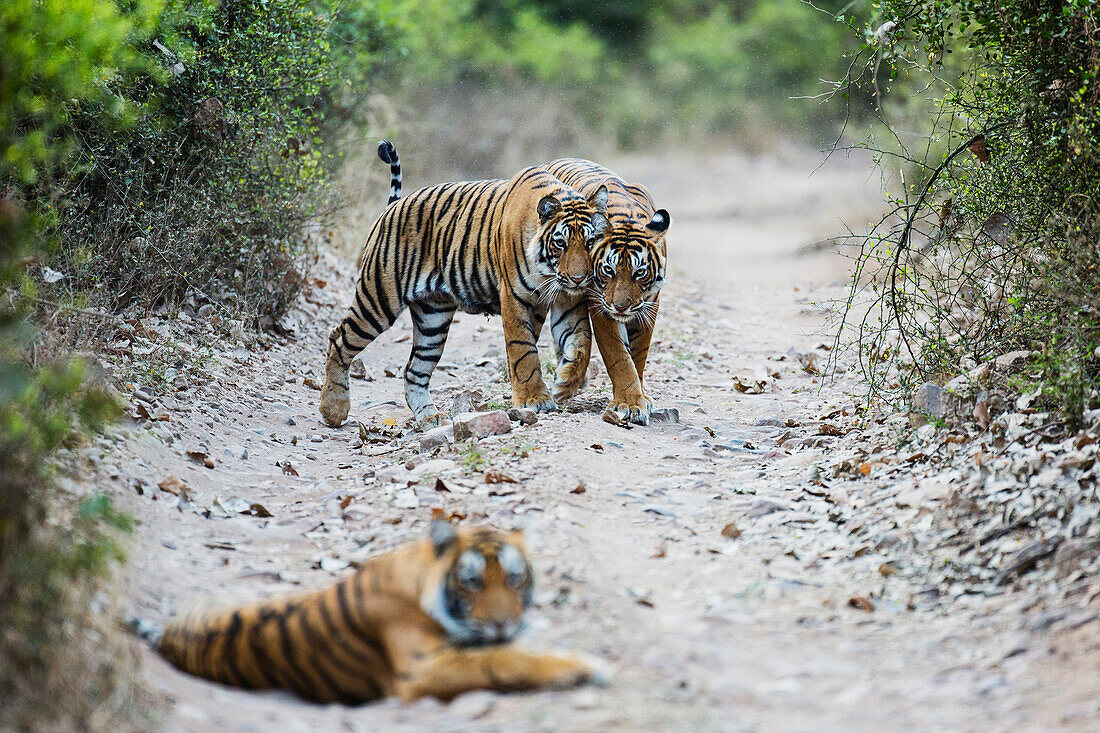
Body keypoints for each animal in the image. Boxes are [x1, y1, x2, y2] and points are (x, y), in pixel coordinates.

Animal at [154, 517, 607, 699]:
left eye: (514, 578)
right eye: (472, 581)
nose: (503, 624)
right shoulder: (422, 668)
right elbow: (505, 661)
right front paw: (586, 666)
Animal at [319, 140, 611, 429]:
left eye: (589, 242)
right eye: (560, 243)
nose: (578, 278)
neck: (550, 274)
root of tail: (391, 206)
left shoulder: (568, 302)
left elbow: (581, 344)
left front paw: (565, 383)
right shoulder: (514, 299)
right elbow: (524, 352)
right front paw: (534, 400)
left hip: (432, 318)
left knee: (414, 370)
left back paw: (430, 417)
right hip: (379, 297)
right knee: (339, 340)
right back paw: (333, 409)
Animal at [541, 157, 668, 424]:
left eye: (639, 273)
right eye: (608, 270)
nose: (621, 307)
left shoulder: (650, 305)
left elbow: (638, 356)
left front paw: (641, 397)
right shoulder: (601, 308)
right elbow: (619, 357)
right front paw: (630, 403)